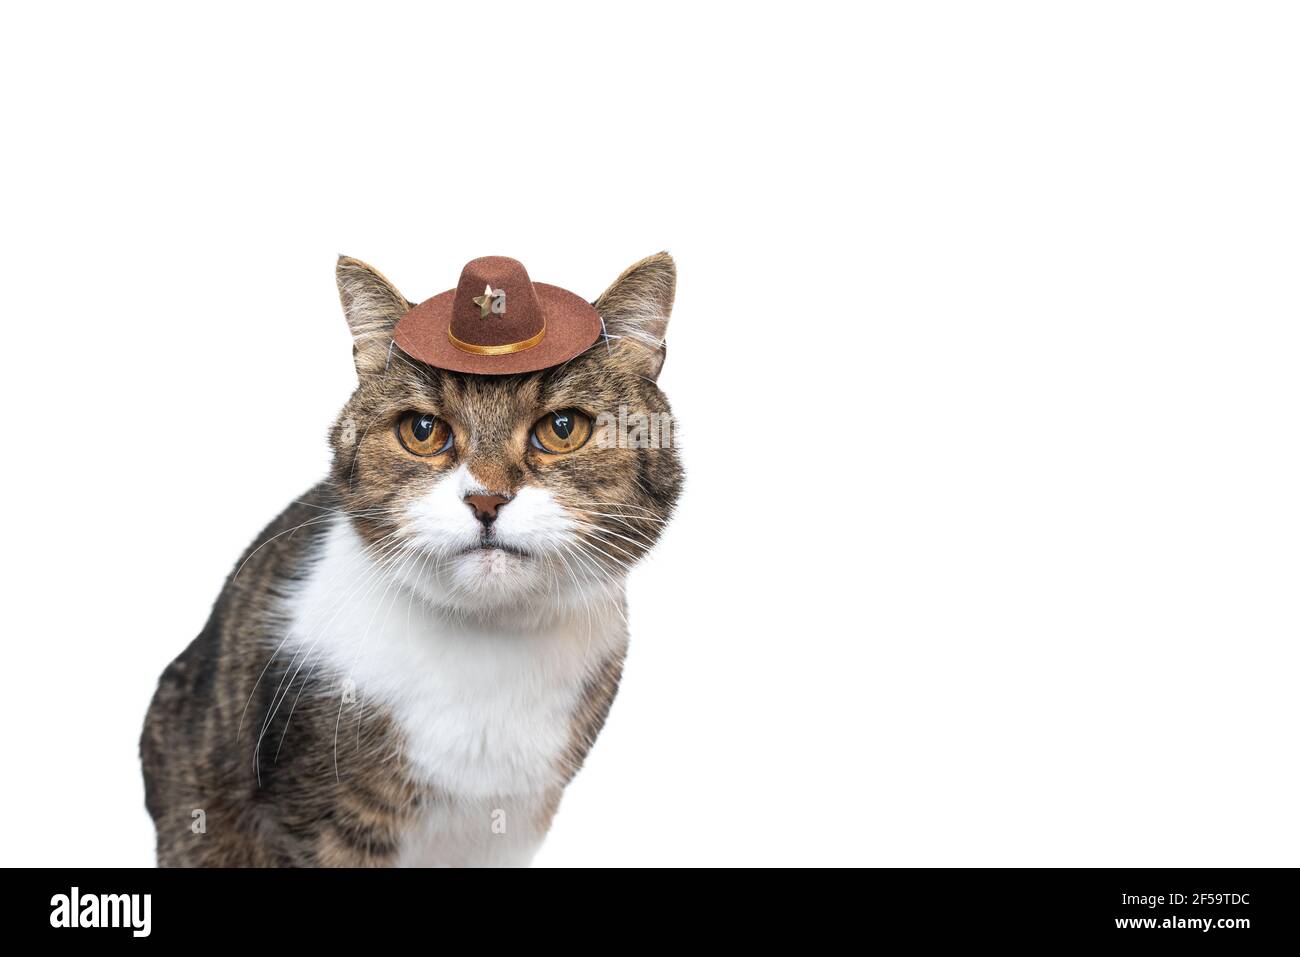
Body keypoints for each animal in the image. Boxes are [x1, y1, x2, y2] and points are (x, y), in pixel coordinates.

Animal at [141, 252, 686, 868]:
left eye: (563, 428)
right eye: (423, 431)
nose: (485, 499)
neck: (488, 646)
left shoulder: (513, 825)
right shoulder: (315, 815)